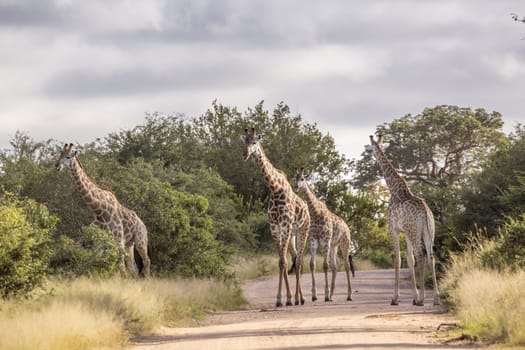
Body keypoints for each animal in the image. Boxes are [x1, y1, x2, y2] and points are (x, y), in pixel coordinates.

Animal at [54, 144, 150, 278]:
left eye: (68, 157)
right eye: (60, 153)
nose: (57, 166)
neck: (99, 211)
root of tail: (143, 224)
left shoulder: (118, 240)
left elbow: (121, 269)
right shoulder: (98, 243)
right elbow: (92, 264)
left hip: (141, 240)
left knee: (146, 262)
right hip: (129, 244)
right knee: (134, 269)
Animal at [239, 128, 310, 306]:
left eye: (254, 142)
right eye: (244, 142)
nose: (244, 154)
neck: (275, 189)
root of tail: (307, 208)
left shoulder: (284, 225)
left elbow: (283, 262)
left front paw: (286, 299)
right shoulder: (274, 227)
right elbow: (282, 262)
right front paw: (283, 299)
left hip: (302, 231)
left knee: (300, 260)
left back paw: (301, 298)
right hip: (292, 235)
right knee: (295, 257)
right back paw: (297, 297)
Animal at [292, 168, 354, 302]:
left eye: (302, 179)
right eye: (295, 178)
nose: (296, 187)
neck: (315, 213)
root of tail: (347, 227)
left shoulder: (325, 240)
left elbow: (325, 266)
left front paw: (325, 295)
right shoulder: (313, 239)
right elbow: (312, 264)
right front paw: (315, 295)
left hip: (344, 243)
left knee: (346, 265)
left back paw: (349, 295)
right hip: (334, 246)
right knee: (335, 266)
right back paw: (331, 295)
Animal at [366, 135, 440, 306]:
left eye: (370, 147)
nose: (368, 152)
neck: (394, 189)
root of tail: (425, 212)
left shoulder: (392, 229)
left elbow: (398, 259)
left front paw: (395, 298)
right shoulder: (405, 232)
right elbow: (410, 260)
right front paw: (413, 297)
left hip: (415, 231)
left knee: (421, 256)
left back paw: (422, 300)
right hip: (428, 231)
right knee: (431, 257)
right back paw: (436, 299)